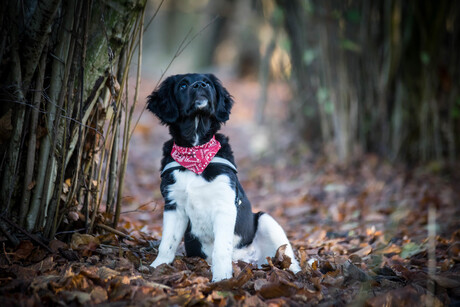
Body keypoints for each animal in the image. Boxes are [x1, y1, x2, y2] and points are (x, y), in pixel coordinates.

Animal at [146, 74, 300, 282]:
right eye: (183, 85)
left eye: (208, 84)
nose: (200, 85)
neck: (196, 151)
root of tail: (249, 261)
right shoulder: (173, 204)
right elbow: (167, 242)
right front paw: (157, 267)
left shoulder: (225, 204)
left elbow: (221, 248)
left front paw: (221, 279)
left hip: (266, 219)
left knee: (288, 257)